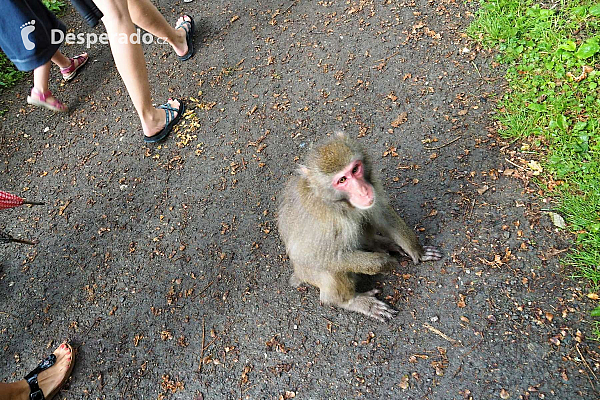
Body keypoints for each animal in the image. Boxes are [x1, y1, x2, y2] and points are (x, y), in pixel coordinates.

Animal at [276, 132, 440, 322]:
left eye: (355, 170)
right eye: (342, 180)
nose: (363, 191)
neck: (338, 203)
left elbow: (380, 213)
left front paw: (416, 250)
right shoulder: (326, 222)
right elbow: (311, 256)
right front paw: (383, 262)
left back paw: (379, 244)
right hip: (309, 274)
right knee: (330, 268)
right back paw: (350, 301)